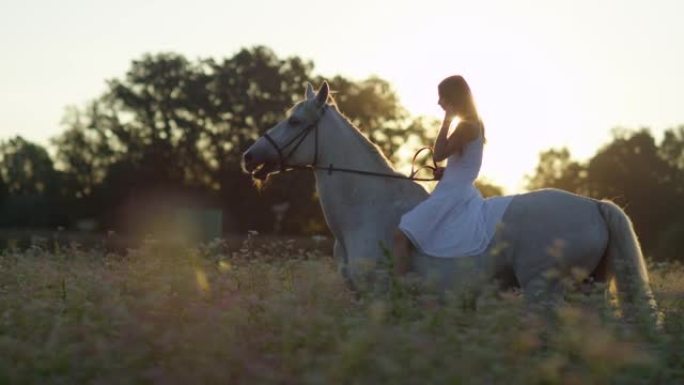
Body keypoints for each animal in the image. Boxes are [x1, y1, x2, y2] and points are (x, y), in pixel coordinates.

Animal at [243, 82, 660, 324]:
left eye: (296, 122)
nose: (249, 158)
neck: (366, 207)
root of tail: (593, 205)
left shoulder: (377, 297)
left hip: (545, 293)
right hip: (587, 290)